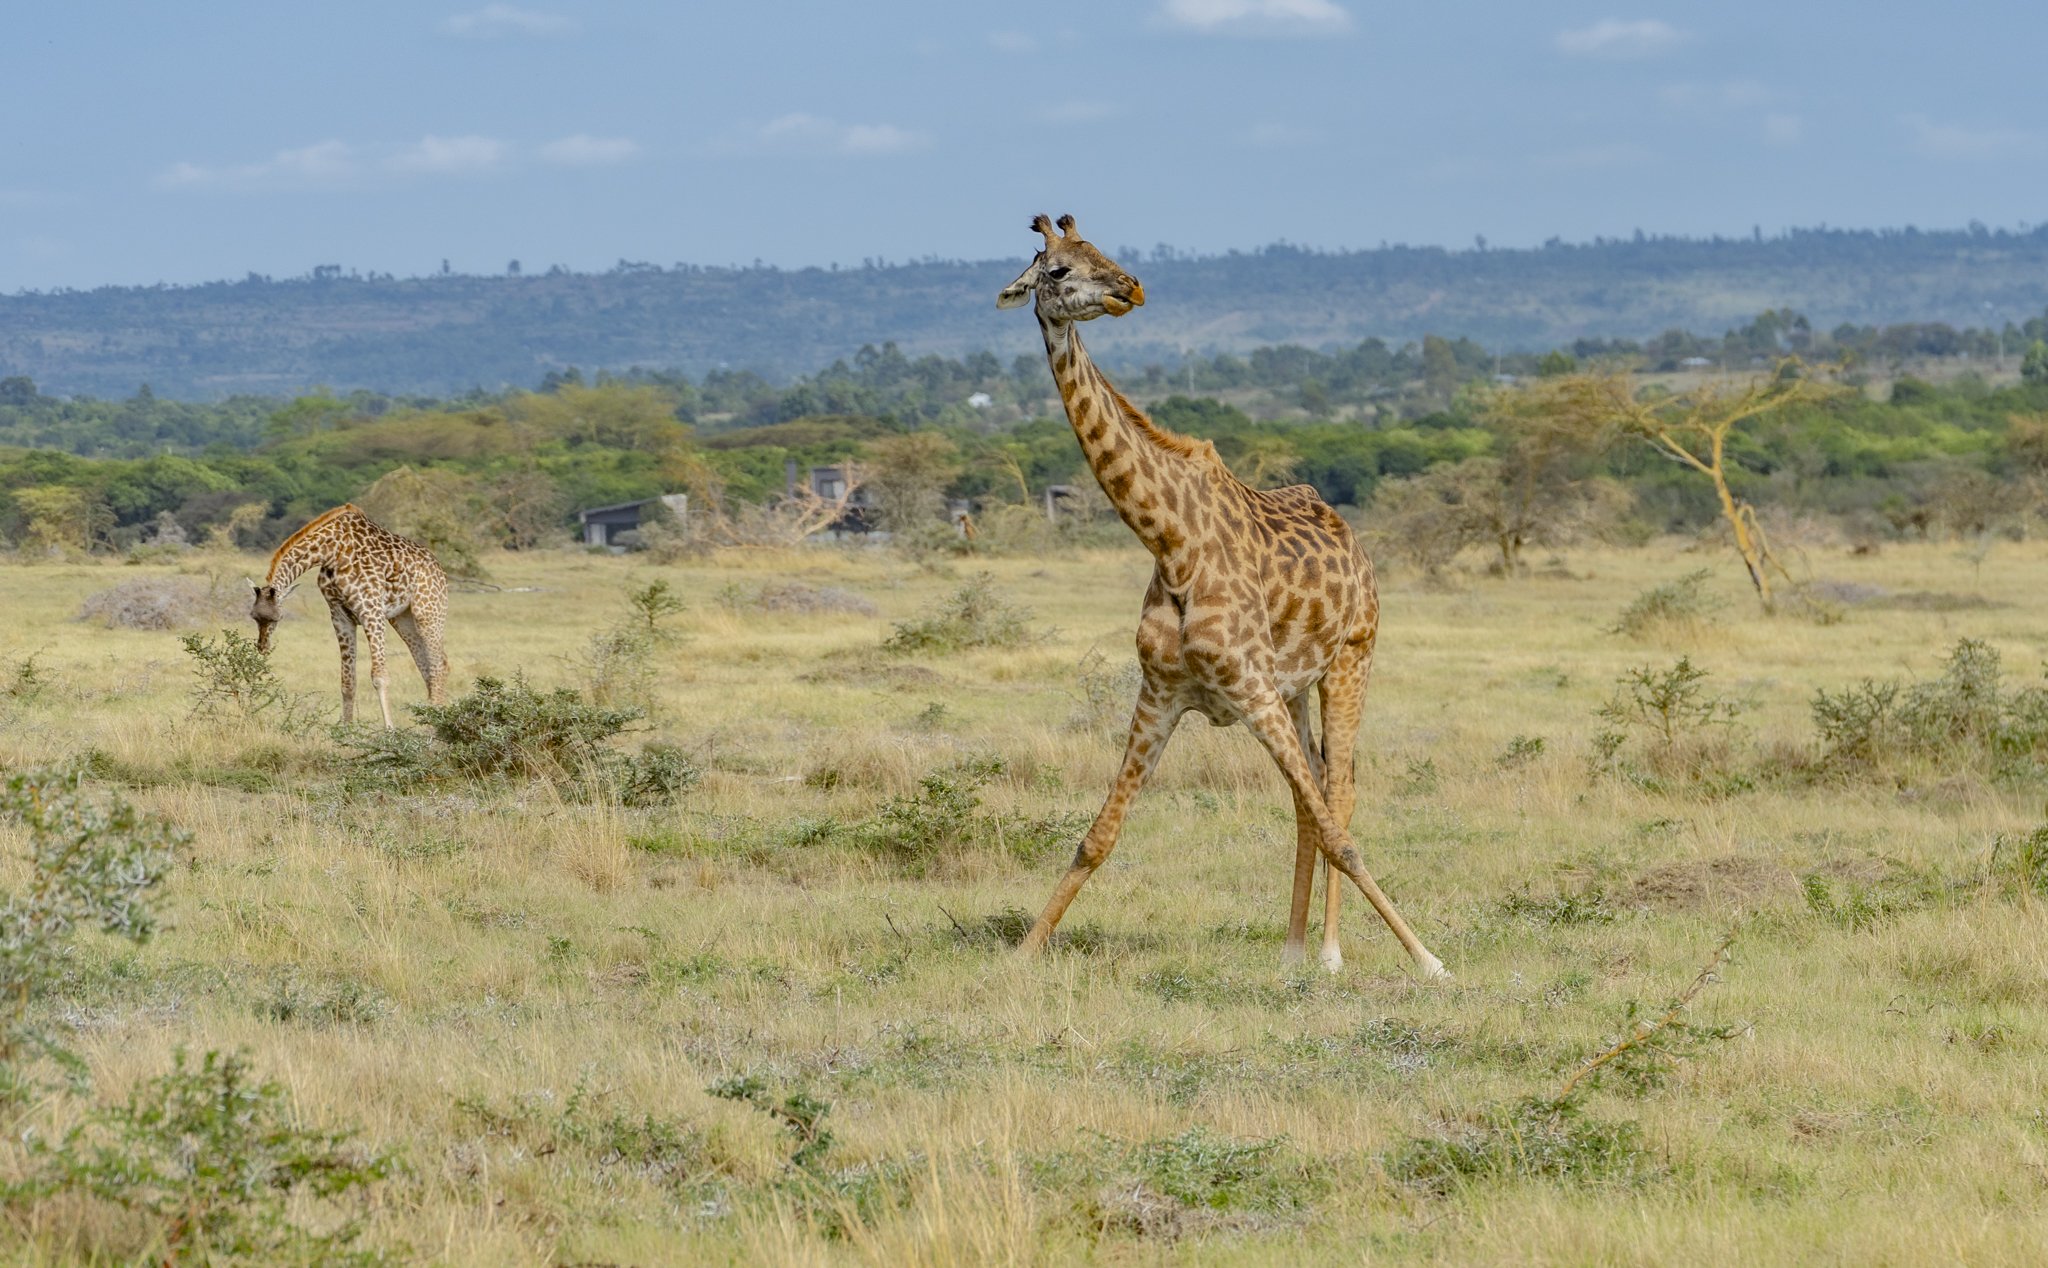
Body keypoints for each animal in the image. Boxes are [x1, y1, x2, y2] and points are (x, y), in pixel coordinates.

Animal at [248, 504, 450, 728]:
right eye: (253, 616)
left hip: (428, 612)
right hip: (402, 619)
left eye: (276, 618)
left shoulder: (371, 611)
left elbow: (379, 676)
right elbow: (347, 681)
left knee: (439, 666)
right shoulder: (340, 616)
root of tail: (439, 567)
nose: (262, 646)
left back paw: (435, 726)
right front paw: (346, 729)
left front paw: (390, 730)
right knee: (429, 666)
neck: (331, 551)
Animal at [998, 214, 1447, 978]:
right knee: (1308, 797)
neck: (1169, 540)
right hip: (1294, 689)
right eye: (1056, 270)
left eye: (1101, 251)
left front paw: (1428, 959)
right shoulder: (1162, 694)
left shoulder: (1252, 688)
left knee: (1338, 793)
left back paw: (1328, 951)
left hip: (1351, 659)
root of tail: (1350, 533)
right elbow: (1099, 835)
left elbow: (1341, 835)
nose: (1130, 289)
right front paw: (1025, 951)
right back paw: (1293, 950)